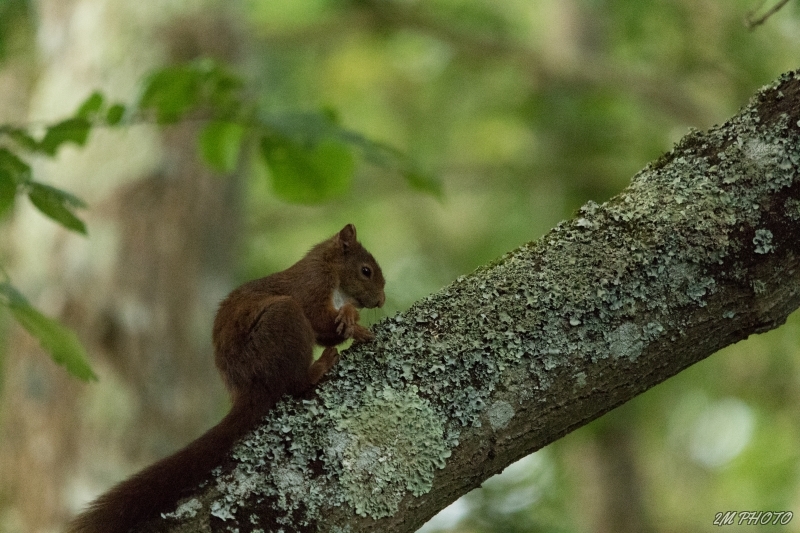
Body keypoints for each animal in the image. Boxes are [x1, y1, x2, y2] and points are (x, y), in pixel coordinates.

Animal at [67, 223, 386, 532]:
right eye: (366, 270)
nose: (382, 301)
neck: (331, 272)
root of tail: (248, 388)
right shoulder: (311, 288)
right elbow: (319, 317)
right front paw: (352, 317)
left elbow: (326, 331)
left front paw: (354, 323)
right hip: (284, 318)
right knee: (294, 383)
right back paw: (320, 366)